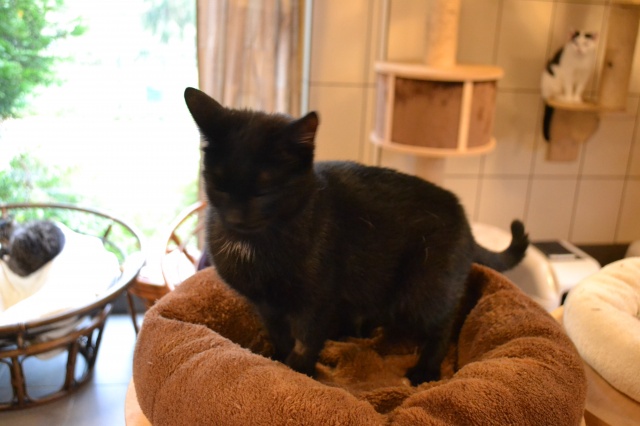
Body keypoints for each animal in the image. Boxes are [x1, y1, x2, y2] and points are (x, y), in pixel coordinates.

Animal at [184, 87, 530, 385]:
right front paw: (278, 361)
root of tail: (464, 219)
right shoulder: (266, 305)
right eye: (219, 184)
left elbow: (305, 341)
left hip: (423, 289)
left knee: (444, 324)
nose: (235, 218)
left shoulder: (316, 300)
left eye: (264, 192)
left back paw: (424, 370)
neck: (257, 244)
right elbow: (279, 336)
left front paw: (298, 373)